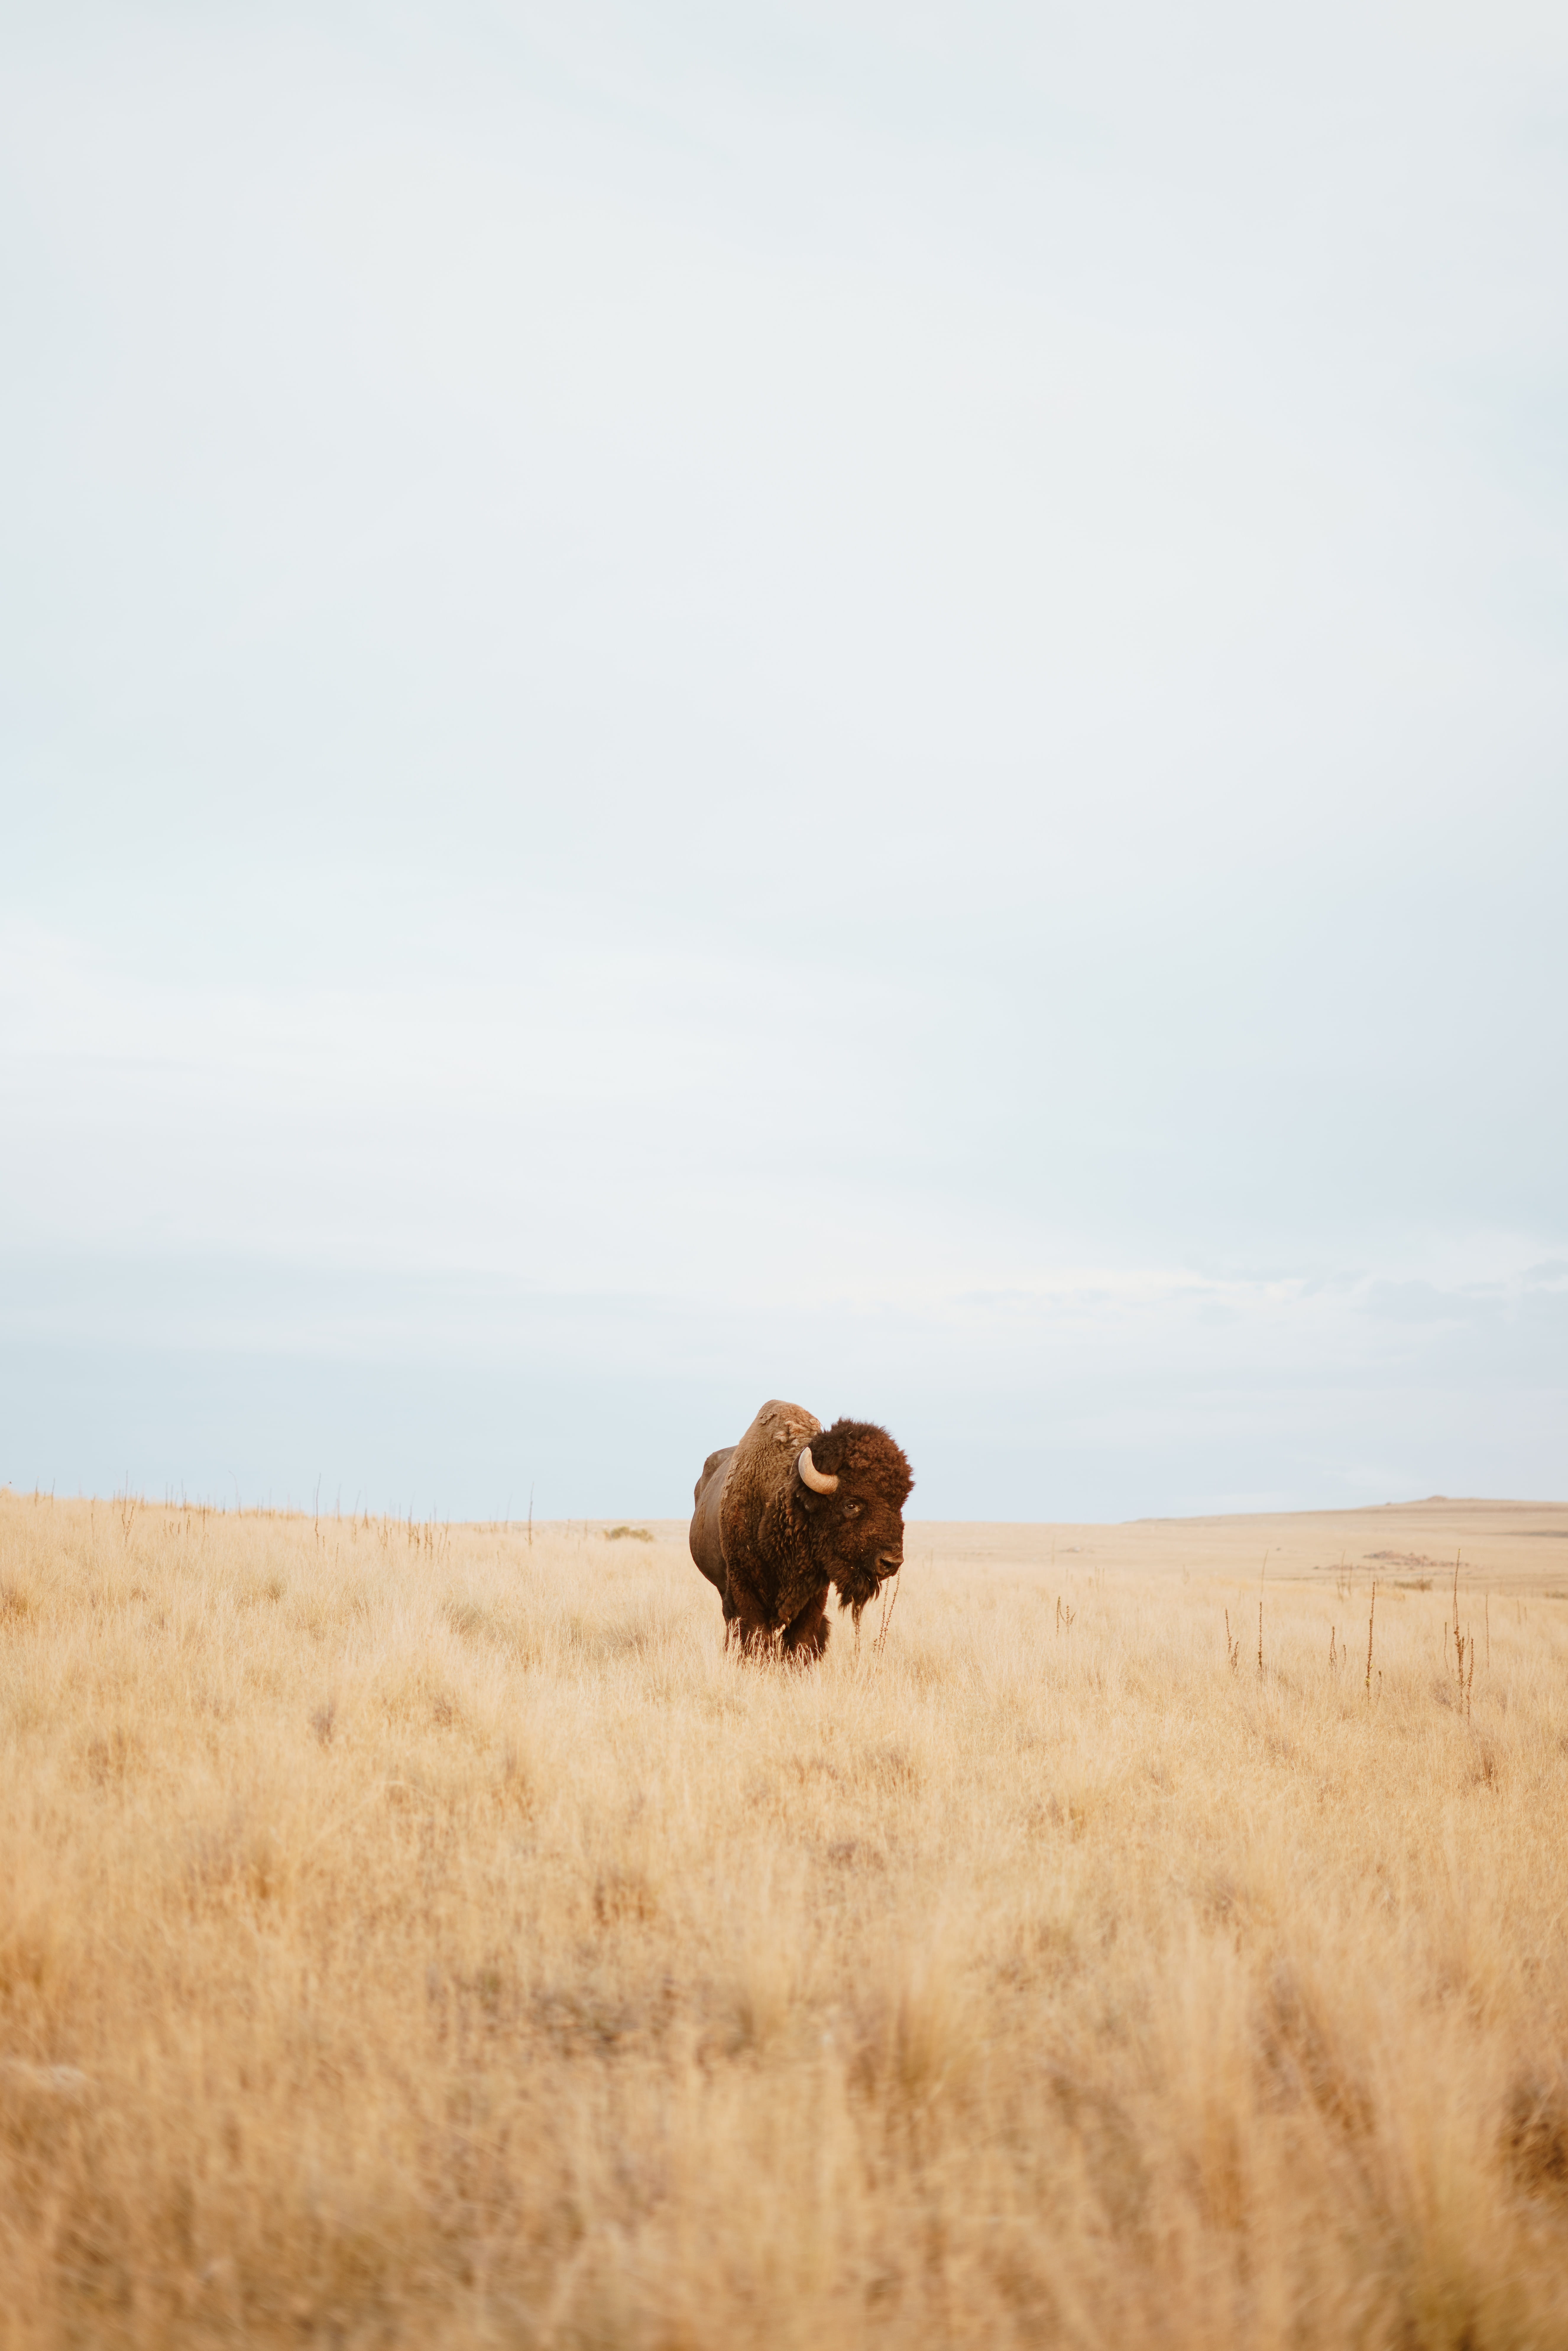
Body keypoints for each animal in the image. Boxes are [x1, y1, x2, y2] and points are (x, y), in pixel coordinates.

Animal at [689, 1398, 913, 1661]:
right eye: (851, 1504)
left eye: (900, 1504)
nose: (891, 1562)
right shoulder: (743, 1585)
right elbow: (757, 1636)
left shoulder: (815, 1594)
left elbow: (802, 1639)